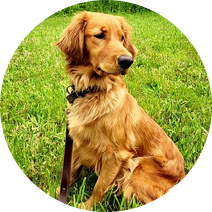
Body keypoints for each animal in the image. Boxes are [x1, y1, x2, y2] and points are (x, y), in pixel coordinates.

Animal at [56, 12, 212, 212]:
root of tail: (183, 188)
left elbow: (100, 186)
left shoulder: (116, 156)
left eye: (122, 38)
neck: (94, 90)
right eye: (100, 35)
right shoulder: (78, 142)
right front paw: (55, 194)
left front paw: (85, 207)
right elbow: (70, 172)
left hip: (138, 167)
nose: (127, 61)